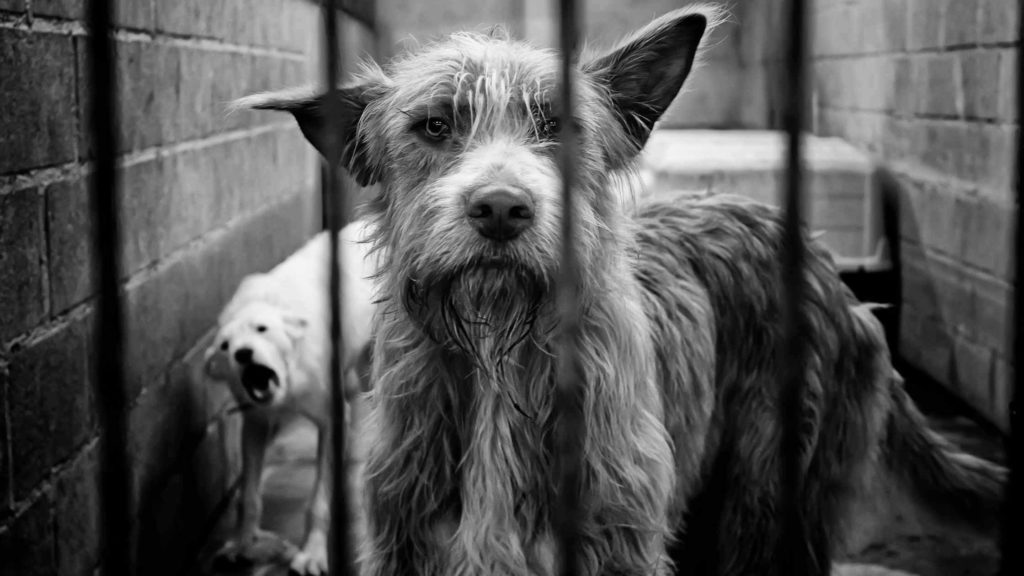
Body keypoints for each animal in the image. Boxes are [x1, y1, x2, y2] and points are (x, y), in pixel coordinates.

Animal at [201, 217, 378, 569]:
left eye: (262, 329)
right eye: (225, 346)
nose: (243, 353)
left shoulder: (331, 419)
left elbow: (319, 500)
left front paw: (311, 554)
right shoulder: (254, 422)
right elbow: (249, 495)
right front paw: (243, 544)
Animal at [235, 5, 1003, 573]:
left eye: (560, 126)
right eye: (433, 125)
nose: (502, 208)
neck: (499, 353)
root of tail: (830, 273)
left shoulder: (618, 538)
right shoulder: (406, 535)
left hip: (768, 504)